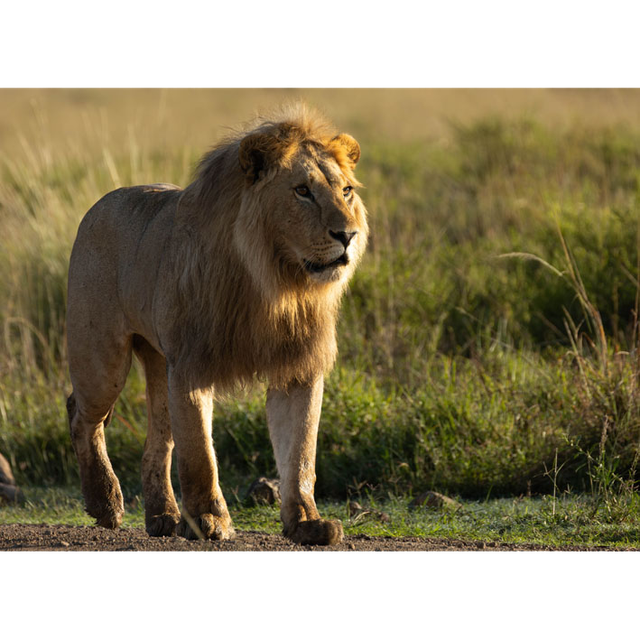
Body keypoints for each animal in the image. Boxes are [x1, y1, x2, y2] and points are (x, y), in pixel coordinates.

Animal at [65, 103, 368, 545]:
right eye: (302, 191)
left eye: (345, 191)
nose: (348, 235)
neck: (275, 284)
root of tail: (103, 201)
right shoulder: (192, 364)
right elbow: (201, 454)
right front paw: (210, 520)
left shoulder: (299, 368)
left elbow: (300, 454)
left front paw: (307, 523)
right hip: (102, 358)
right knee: (81, 414)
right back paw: (106, 503)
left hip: (159, 362)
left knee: (157, 442)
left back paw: (163, 517)